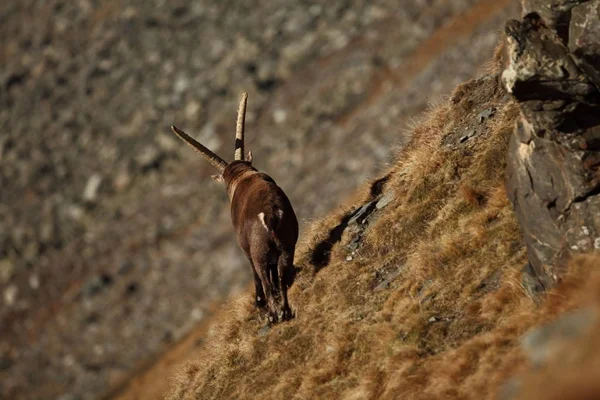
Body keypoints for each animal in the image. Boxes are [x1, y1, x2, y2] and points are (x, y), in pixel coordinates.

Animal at [171, 93, 298, 322]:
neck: (243, 176)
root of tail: (270, 215)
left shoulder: (246, 250)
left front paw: (259, 302)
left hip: (259, 253)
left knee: (265, 279)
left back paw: (272, 314)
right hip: (286, 245)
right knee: (281, 275)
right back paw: (285, 310)